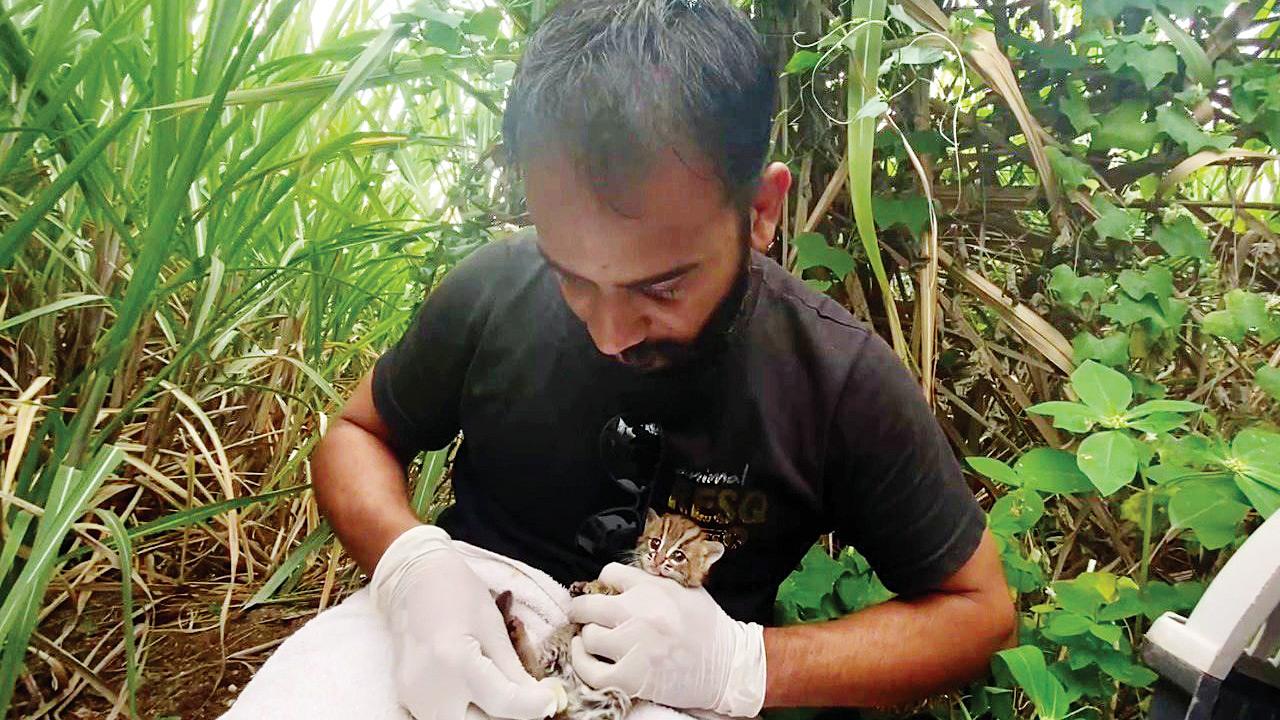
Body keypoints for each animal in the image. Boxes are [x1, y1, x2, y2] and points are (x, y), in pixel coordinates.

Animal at [494, 507, 727, 717]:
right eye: (655, 543)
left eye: (678, 556)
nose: (658, 559)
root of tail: (569, 691)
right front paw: (585, 586)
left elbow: (613, 591)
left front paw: (598, 587)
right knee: (533, 672)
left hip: (614, 698)